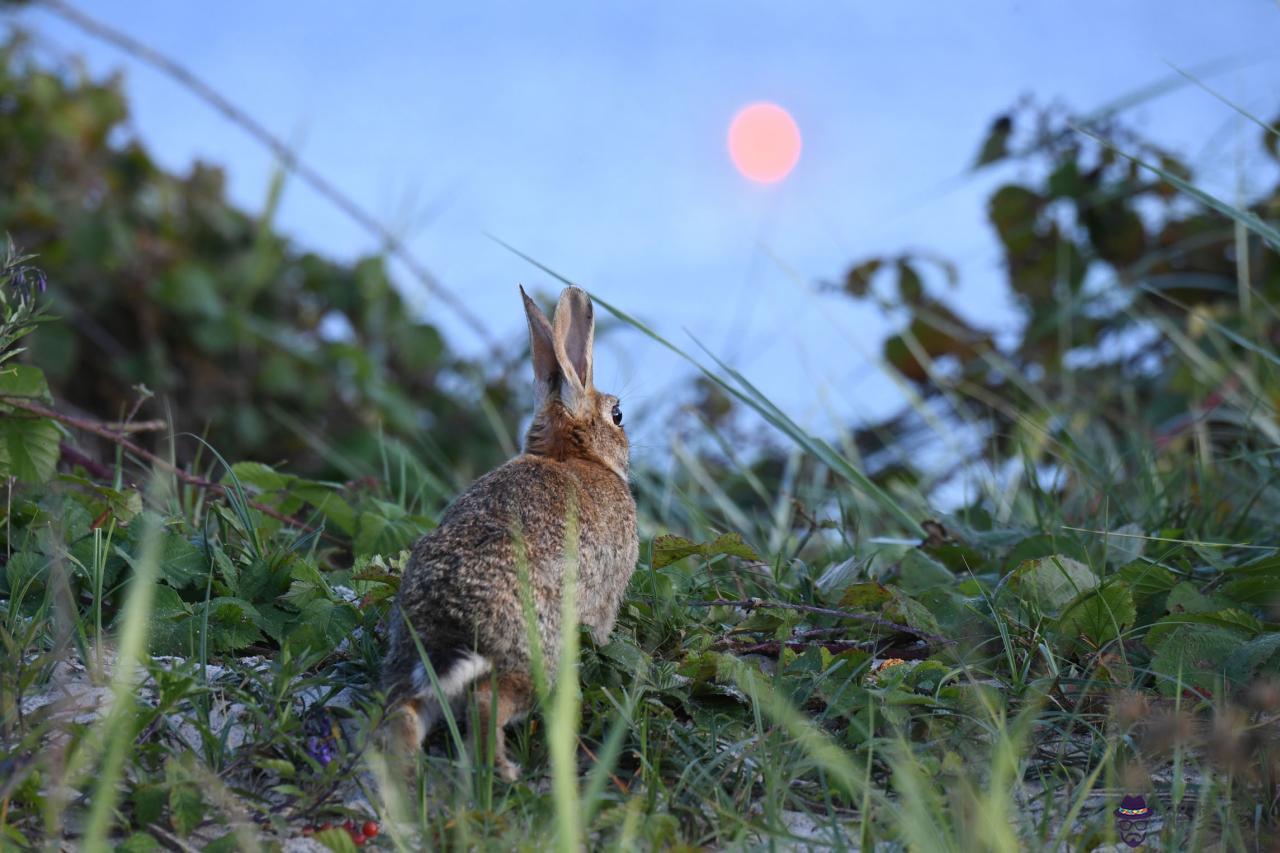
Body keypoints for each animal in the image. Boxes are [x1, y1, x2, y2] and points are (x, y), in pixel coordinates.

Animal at [378, 284, 640, 778]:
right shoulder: (605, 599)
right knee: (487, 703)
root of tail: (451, 623)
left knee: (403, 712)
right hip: (533, 658)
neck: (571, 456)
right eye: (617, 415)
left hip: (412, 667)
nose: (626, 437)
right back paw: (503, 771)